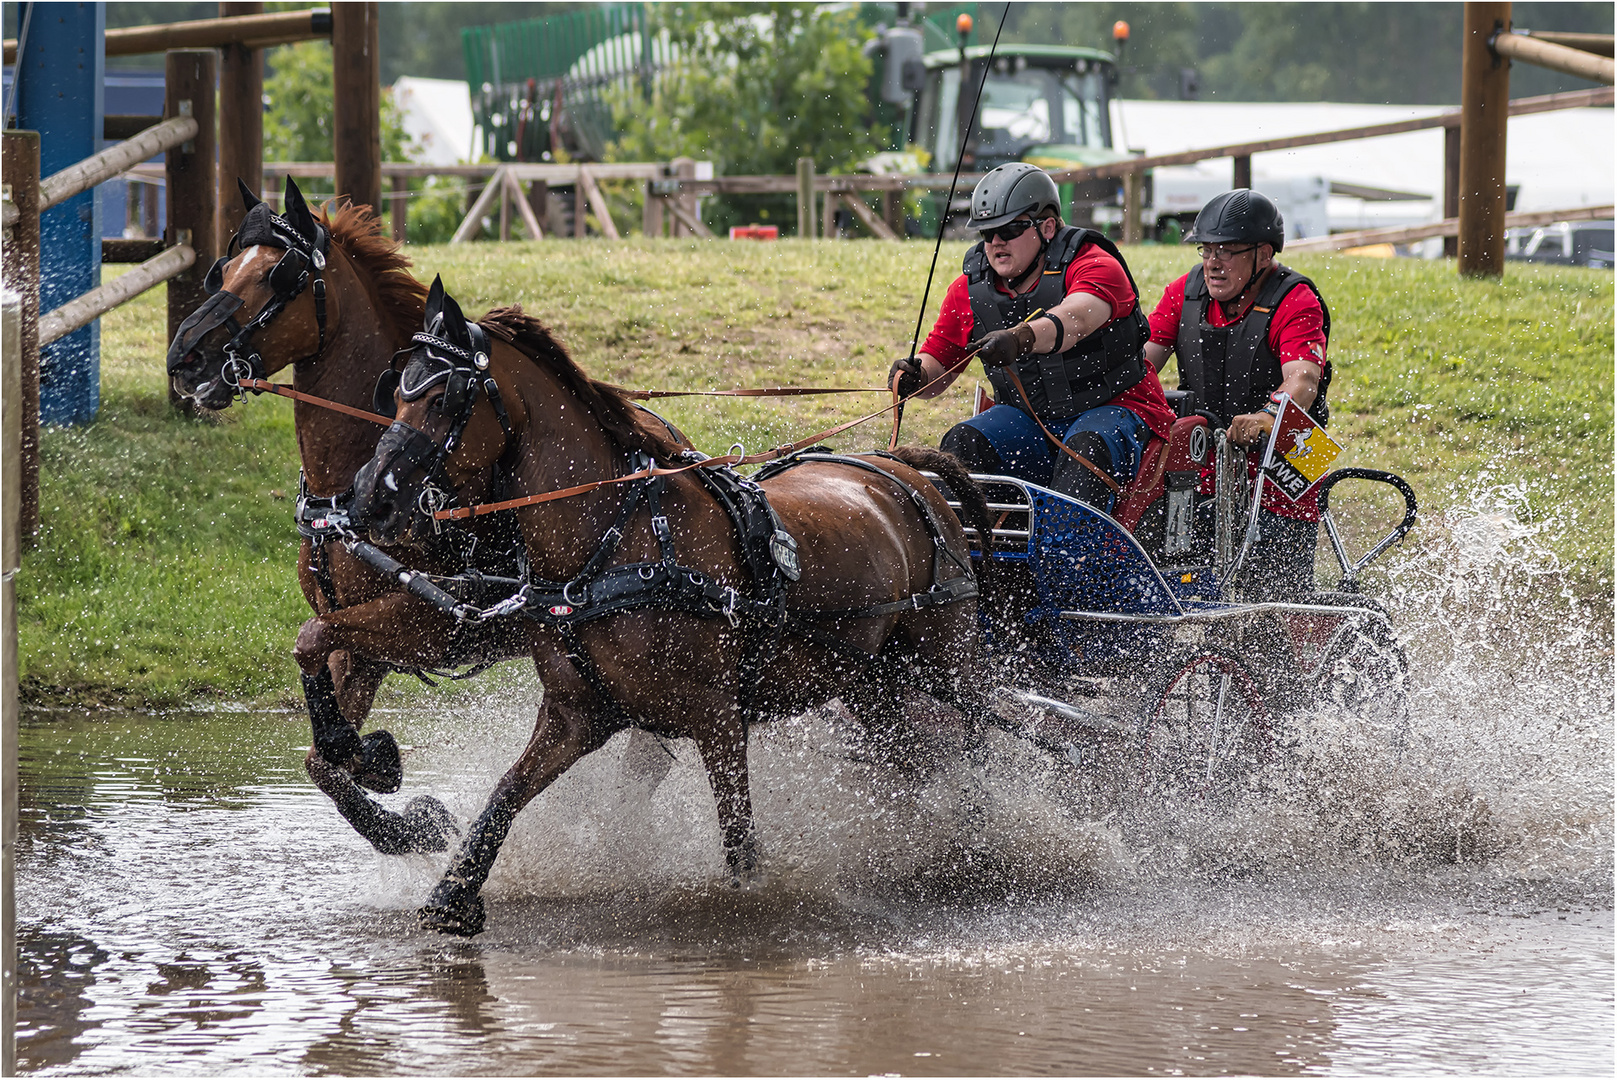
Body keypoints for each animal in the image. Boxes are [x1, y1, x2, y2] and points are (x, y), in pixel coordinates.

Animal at [167, 177, 527, 853]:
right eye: (221, 270)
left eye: (277, 277)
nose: (184, 359)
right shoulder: (358, 642)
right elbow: (320, 756)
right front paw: (402, 804)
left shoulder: (431, 623)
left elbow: (318, 684)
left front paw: (381, 772)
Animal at [347, 281, 989, 937]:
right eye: (396, 392)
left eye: (443, 398)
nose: (368, 497)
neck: (614, 543)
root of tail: (900, 469)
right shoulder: (578, 714)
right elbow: (505, 794)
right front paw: (453, 895)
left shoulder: (718, 717)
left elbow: (739, 840)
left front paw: (754, 910)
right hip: (870, 685)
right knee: (913, 765)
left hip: (950, 668)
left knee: (974, 752)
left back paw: (975, 854)